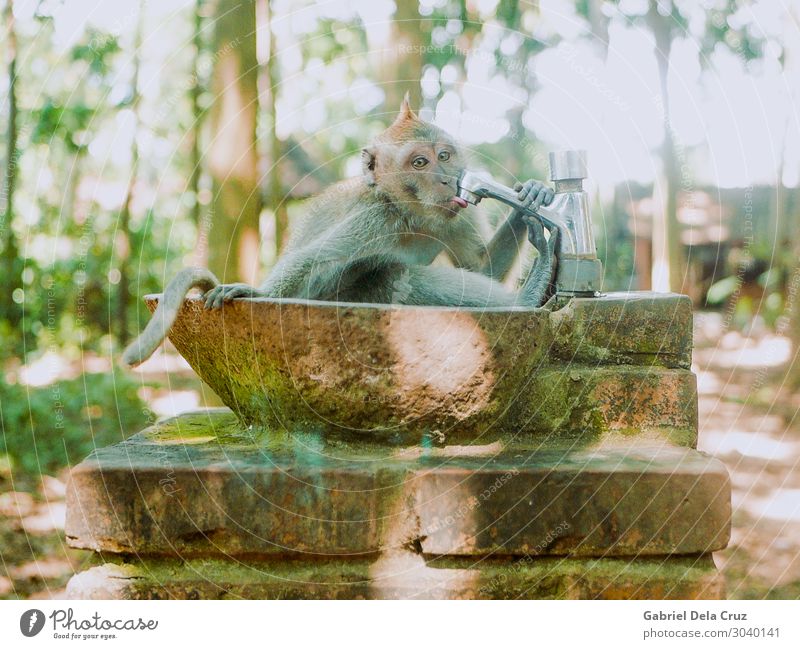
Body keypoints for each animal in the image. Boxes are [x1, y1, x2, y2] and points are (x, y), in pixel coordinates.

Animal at [122, 98, 556, 368]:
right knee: (395, 276)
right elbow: (313, 260)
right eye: (420, 162)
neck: (410, 215)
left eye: (444, 156)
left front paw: (531, 202)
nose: (449, 181)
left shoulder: (456, 216)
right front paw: (255, 292)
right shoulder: (374, 217)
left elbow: (481, 267)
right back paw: (529, 297)